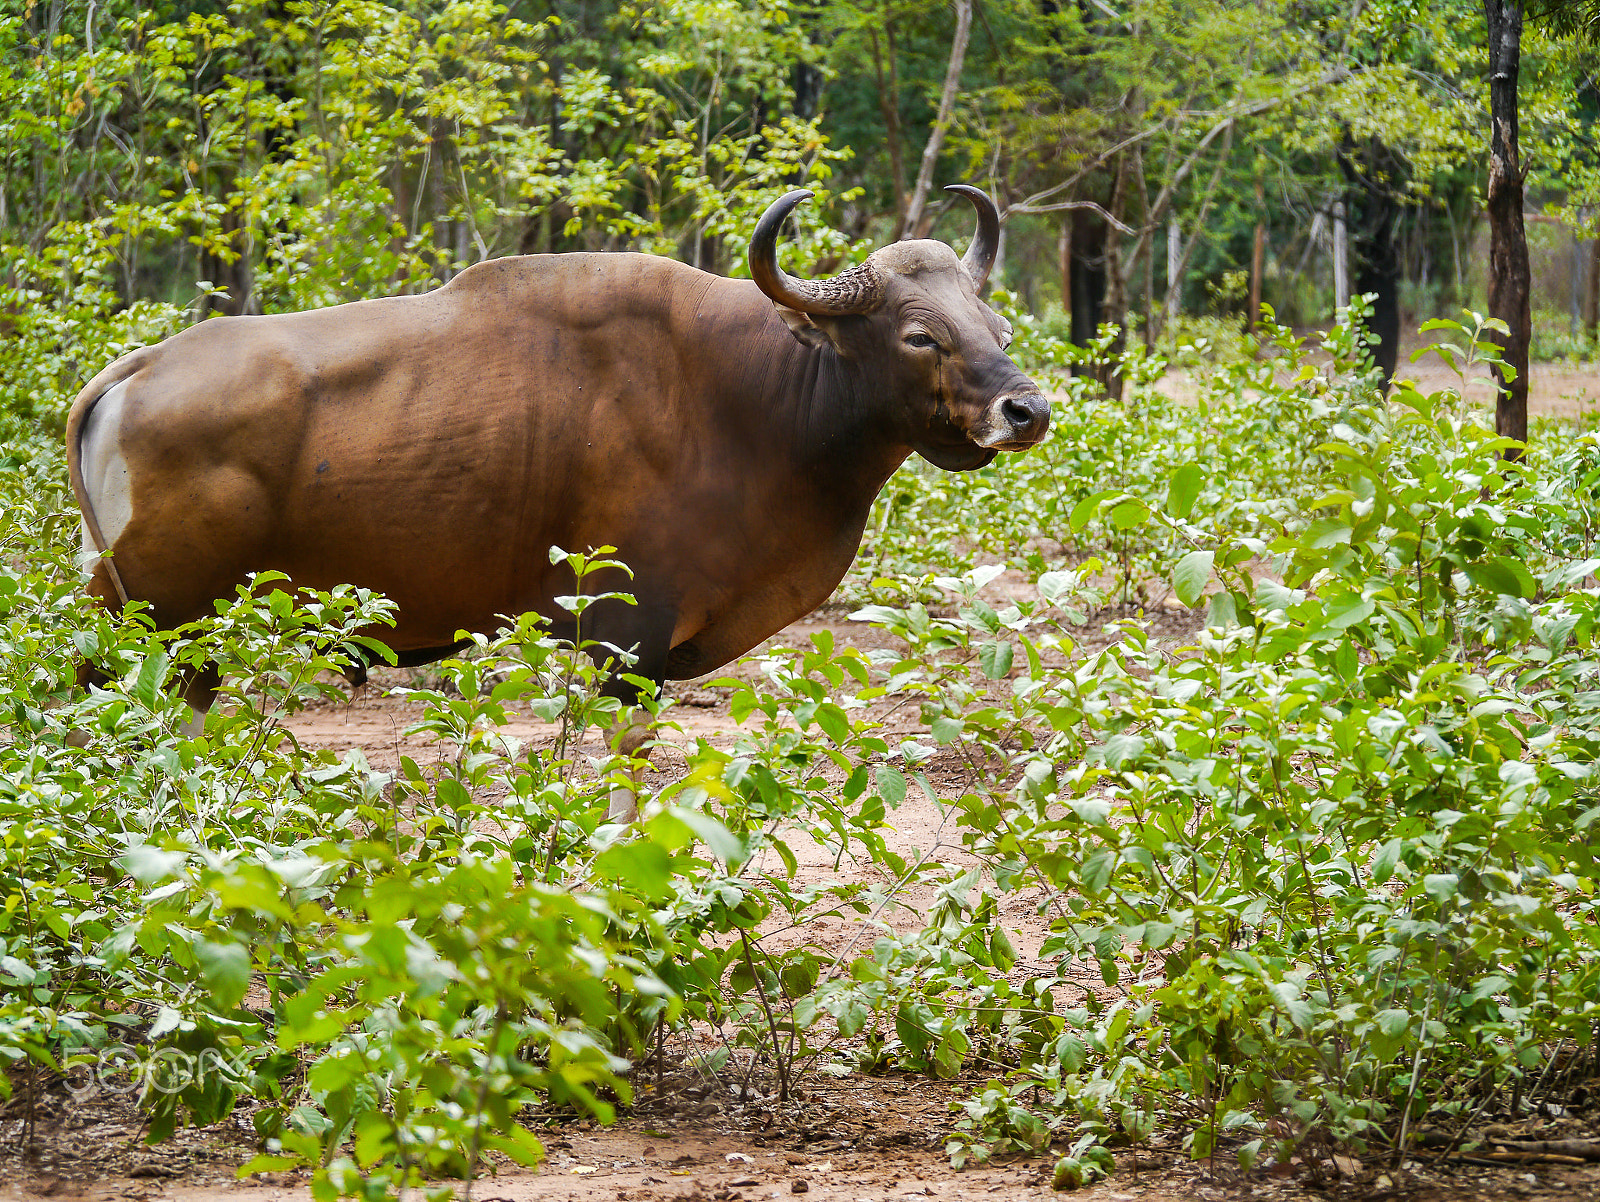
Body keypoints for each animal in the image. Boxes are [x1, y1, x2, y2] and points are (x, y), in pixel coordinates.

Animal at [68, 180, 1049, 809]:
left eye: (995, 324)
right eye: (919, 334)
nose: (1027, 409)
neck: (755, 394)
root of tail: (134, 373)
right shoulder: (629, 637)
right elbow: (628, 768)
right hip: (175, 627)